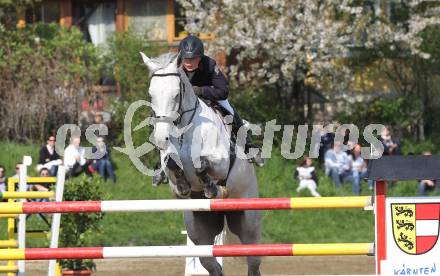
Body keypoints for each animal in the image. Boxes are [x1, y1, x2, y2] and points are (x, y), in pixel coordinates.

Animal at [142, 52, 262, 276]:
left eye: (176, 94)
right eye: (151, 94)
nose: (161, 138)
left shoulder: (221, 163)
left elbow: (201, 164)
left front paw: (212, 187)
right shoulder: (170, 170)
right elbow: (173, 165)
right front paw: (184, 185)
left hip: (248, 221)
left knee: (253, 260)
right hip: (198, 227)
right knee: (210, 263)